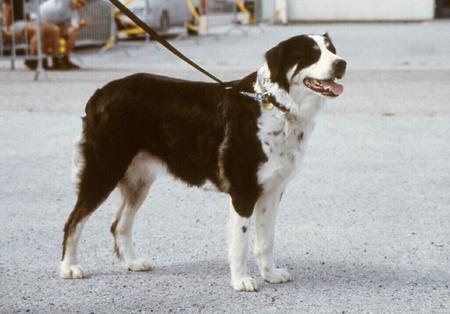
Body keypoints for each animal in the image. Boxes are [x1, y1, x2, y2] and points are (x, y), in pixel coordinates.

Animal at [59, 33, 346, 290]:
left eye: (331, 49)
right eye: (311, 54)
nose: (341, 63)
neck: (273, 105)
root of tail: (100, 93)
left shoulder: (272, 191)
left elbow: (265, 241)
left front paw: (271, 275)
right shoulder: (243, 191)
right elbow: (240, 243)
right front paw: (241, 281)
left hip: (139, 180)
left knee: (119, 224)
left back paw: (132, 263)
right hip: (103, 170)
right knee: (74, 220)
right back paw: (69, 268)